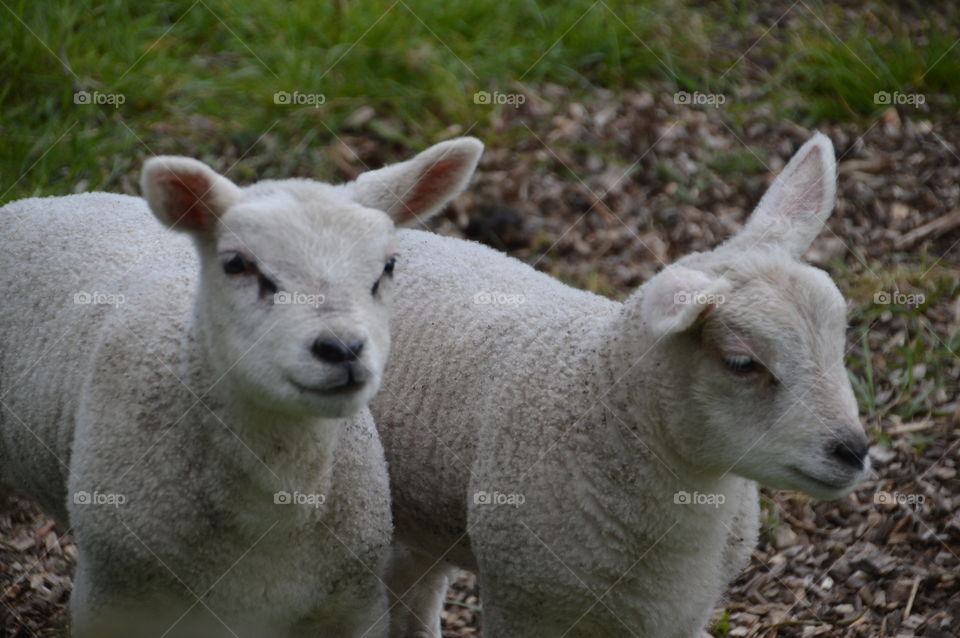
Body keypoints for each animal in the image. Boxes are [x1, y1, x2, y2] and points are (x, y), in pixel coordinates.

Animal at [0, 137, 483, 637]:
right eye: (236, 264)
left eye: (388, 266)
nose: (342, 348)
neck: (272, 513)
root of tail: (43, 199)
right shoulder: (113, 601)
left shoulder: (352, 607)